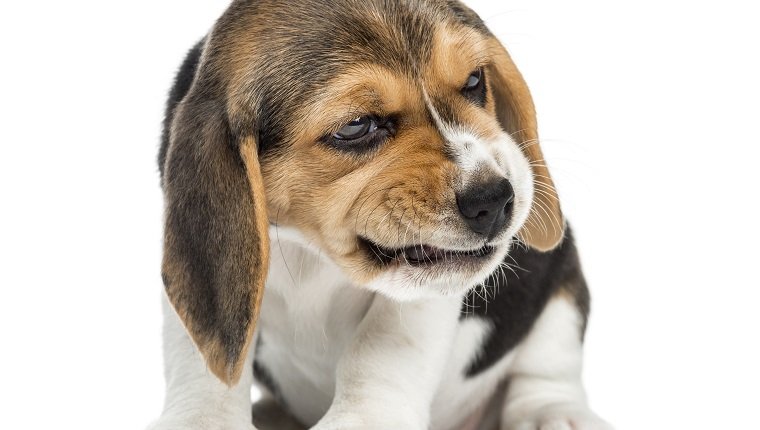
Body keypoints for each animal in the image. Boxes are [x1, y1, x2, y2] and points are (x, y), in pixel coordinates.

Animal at [150, 0, 612, 430]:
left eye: (474, 81)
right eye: (356, 127)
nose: (495, 199)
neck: (312, 255)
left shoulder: (423, 296)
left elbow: (381, 345)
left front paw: (362, 418)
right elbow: (197, 363)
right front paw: (200, 419)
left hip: (560, 286)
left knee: (546, 369)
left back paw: (554, 414)